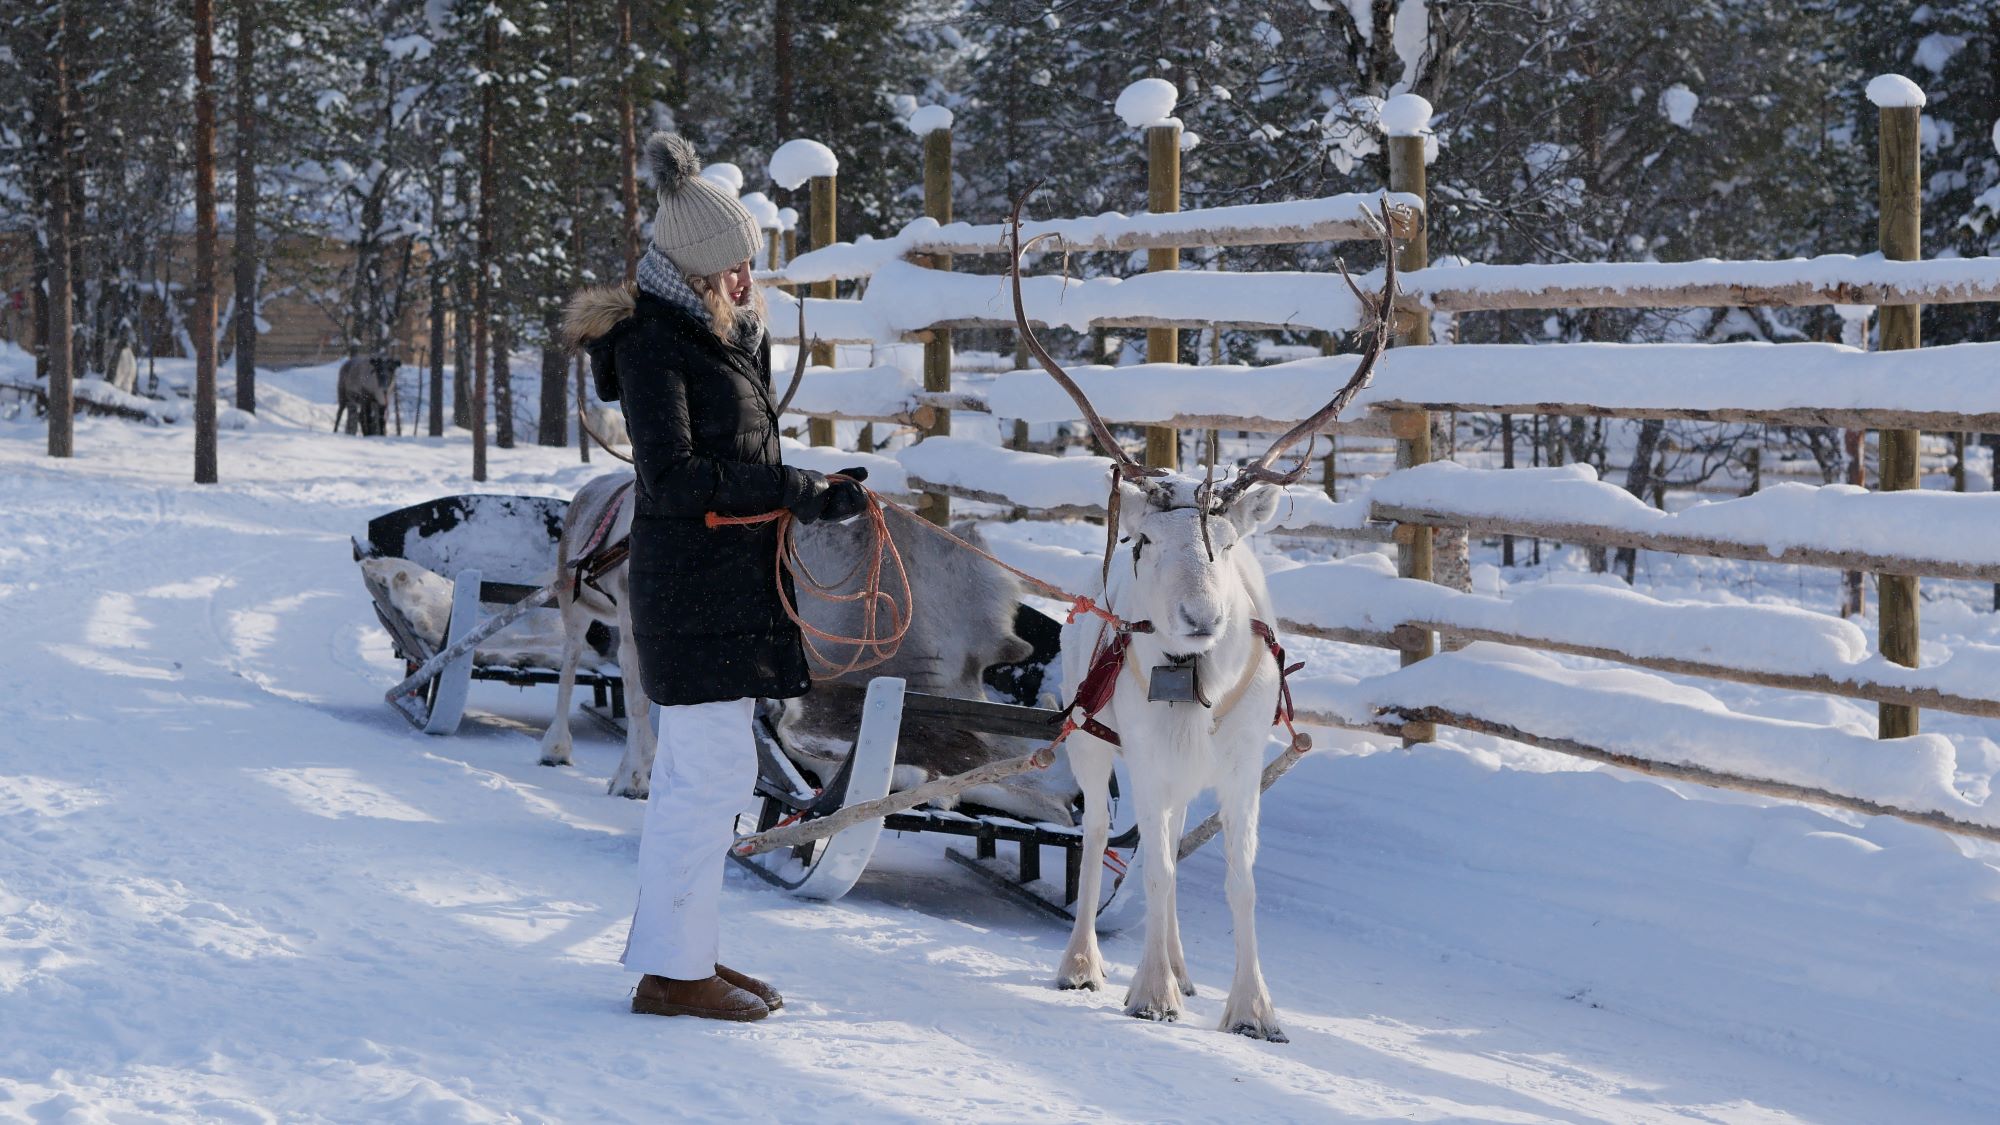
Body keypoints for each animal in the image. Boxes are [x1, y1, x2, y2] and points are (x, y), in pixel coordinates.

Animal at [1010, 193, 1402, 1043]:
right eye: (1144, 541)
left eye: (1226, 541)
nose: (1201, 617)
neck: (1198, 683)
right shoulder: (1144, 751)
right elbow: (1153, 867)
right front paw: (1148, 989)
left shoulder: (1241, 758)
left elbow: (1236, 877)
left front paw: (1252, 1006)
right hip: (1089, 737)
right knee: (1099, 837)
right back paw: (1085, 962)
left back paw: (1185, 969)